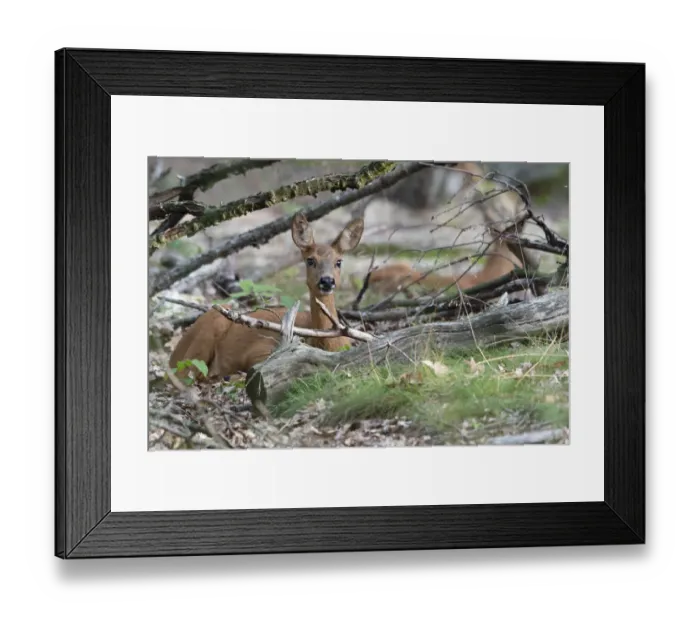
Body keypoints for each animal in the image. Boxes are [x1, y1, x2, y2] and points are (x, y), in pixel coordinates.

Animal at [168, 212, 365, 381]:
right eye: (310, 260)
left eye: (338, 262)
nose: (327, 281)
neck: (328, 343)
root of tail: (172, 356)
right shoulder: (260, 352)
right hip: (208, 330)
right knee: (185, 374)